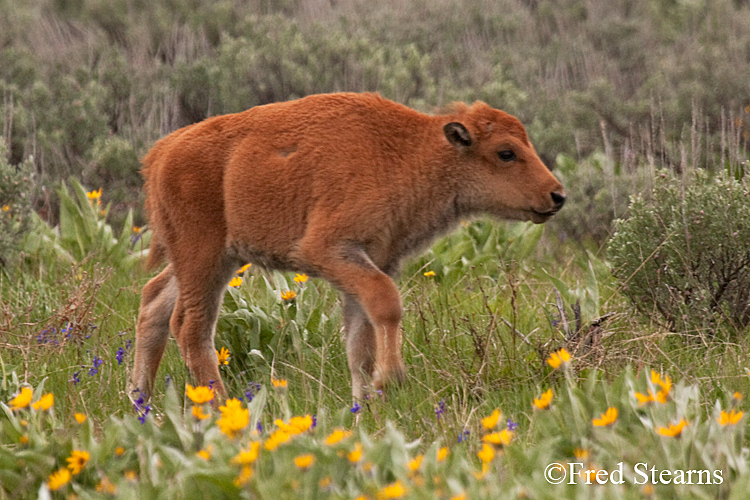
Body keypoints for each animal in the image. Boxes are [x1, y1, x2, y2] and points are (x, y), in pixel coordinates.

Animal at [132, 92, 568, 400]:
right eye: (506, 152)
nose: (557, 195)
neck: (407, 151)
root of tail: (161, 153)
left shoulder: (371, 262)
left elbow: (362, 339)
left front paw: (367, 405)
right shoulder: (327, 250)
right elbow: (386, 304)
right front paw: (392, 378)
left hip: (207, 259)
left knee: (154, 302)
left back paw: (141, 402)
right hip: (203, 257)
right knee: (191, 326)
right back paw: (220, 407)